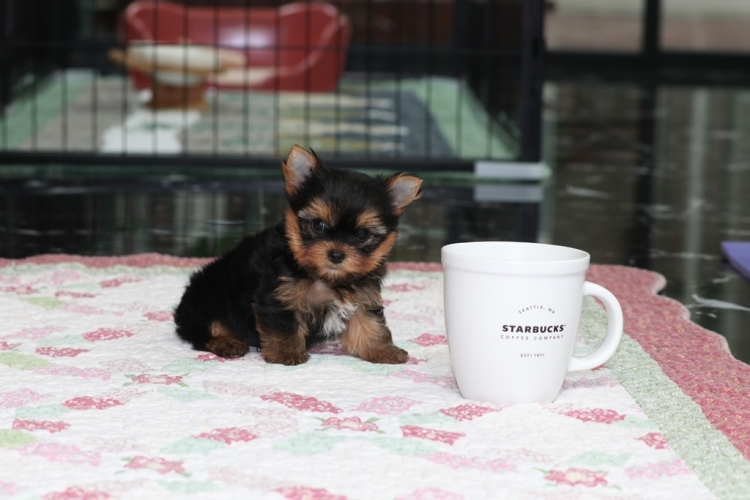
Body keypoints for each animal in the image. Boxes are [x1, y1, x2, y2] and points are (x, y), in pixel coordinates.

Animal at [173, 145, 422, 365]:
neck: (326, 278)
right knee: (202, 331)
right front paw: (287, 353)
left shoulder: (363, 296)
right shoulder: (278, 296)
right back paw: (226, 342)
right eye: (318, 225)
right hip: (207, 297)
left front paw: (383, 350)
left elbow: (370, 324)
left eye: (362, 234)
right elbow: (284, 326)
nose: (336, 254)